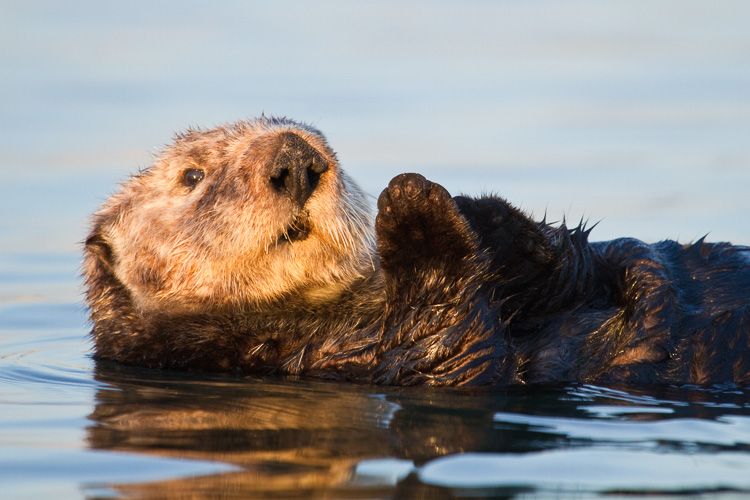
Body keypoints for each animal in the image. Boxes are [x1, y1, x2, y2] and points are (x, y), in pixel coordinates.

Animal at [83, 116, 750, 386]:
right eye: (191, 176)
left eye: (323, 141)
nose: (297, 160)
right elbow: (457, 347)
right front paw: (411, 205)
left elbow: (579, 258)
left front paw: (479, 210)